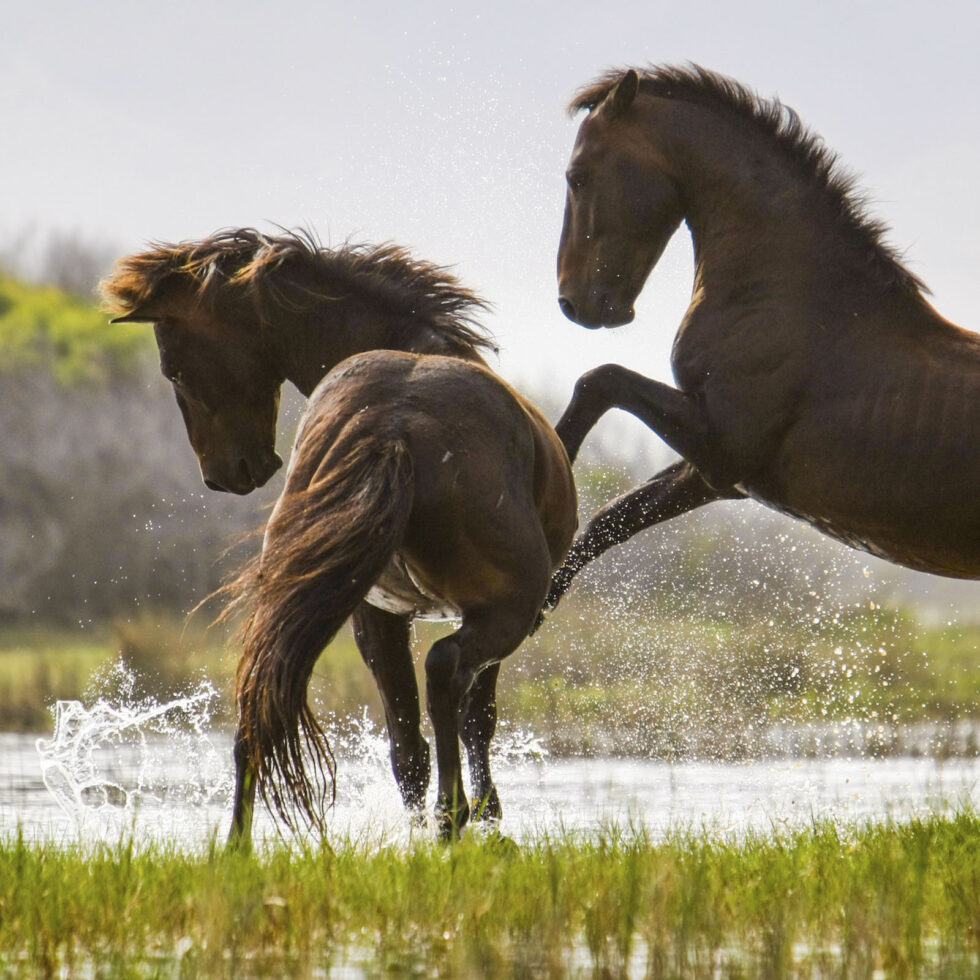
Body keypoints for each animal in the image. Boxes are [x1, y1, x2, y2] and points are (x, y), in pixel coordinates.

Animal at [99, 228, 577, 843]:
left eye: (174, 369)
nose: (224, 475)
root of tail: (394, 424)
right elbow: (476, 719)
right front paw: (487, 813)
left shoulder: (374, 615)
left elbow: (408, 747)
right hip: (506, 610)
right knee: (446, 672)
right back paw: (453, 817)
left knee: (266, 695)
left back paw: (238, 844)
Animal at [545, 63, 980, 613]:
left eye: (578, 176)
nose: (573, 302)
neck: (785, 296)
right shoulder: (718, 475)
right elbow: (609, 522)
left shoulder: (724, 444)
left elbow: (600, 380)